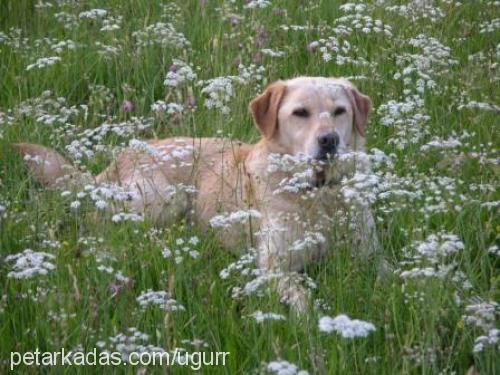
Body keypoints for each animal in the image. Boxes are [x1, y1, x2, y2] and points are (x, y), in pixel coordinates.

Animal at [13, 76, 376, 312]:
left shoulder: (368, 254)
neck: (319, 196)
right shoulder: (274, 266)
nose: (329, 140)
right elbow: (303, 300)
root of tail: (122, 156)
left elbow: (384, 279)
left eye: (340, 111)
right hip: (162, 197)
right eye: (300, 113)